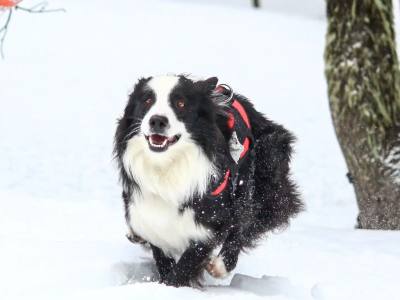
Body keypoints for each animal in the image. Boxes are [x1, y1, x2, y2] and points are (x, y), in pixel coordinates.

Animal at [114, 74, 302, 286]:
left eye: (180, 103)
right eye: (147, 100)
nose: (157, 121)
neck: (167, 165)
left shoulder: (212, 218)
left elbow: (189, 261)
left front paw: (172, 285)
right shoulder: (150, 214)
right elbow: (161, 253)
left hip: (266, 164)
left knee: (247, 220)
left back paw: (220, 265)